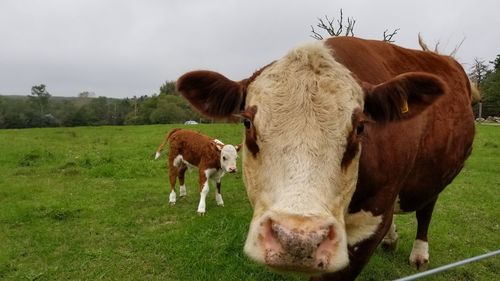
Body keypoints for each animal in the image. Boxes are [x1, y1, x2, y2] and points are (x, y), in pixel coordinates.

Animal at [174, 36, 474, 278]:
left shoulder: (369, 224)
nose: (298, 240)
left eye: (361, 127)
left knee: (426, 209)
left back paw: (419, 254)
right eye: (247, 122)